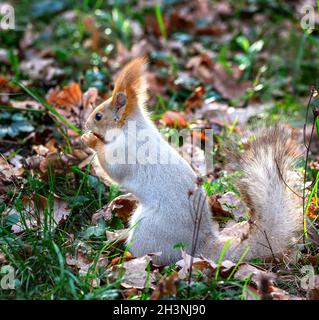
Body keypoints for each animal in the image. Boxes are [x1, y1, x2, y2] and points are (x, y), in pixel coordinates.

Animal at [81, 57, 304, 264]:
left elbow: (113, 168)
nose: (85, 123)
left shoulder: (125, 149)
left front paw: (91, 140)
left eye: (98, 116)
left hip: (147, 229)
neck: (129, 126)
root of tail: (198, 247)